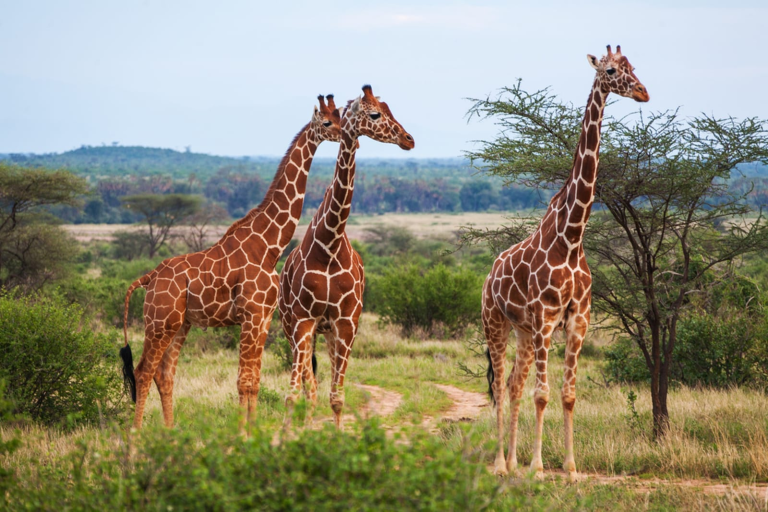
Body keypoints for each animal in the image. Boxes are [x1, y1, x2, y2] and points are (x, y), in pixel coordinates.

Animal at [119, 95, 342, 430]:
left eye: (340, 116)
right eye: (327, 122)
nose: (345, 135)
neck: (269, 247)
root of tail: (149, 277)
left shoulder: (263, 318)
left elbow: (254, 380)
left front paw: (252, 429)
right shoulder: (250, 315)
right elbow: (243, 381)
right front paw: (242, 433)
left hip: (180, 324)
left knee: (164, 373)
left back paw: (170, 432)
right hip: (159, 321)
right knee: (144, 370)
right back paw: (136, 433)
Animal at [278, 85, 414, 428]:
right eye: (375, 113)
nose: (408, 139)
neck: (330, 244)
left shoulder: (347, 322)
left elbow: (337, 398)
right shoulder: (303, 320)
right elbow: (293, 395)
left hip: (329, 332)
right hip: (293, 327)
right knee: (308, 388)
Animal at [482, 46, 649, 479]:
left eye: (633, 67)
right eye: (611, 71)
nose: (643, 92)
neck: (572, 237)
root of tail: (489, 274)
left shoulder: (578, 319)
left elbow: (568, 394)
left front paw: (571, 469)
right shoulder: (546, 316)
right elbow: (542, 394)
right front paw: (539, 467)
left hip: (524, 332)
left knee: (513, 385)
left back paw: (512, 461)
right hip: (496, 323)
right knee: (500, 386)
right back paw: (500, 464)